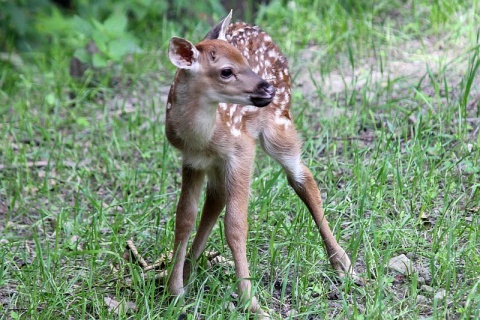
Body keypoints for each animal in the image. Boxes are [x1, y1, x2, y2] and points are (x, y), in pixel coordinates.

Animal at [167, 10, 354, 318]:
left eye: (245, 60)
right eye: (226, 71)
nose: (268, 87)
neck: (202, 138)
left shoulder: (242, 149)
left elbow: (235, 225)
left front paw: (250, 302)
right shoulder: (192, 161)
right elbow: (184, 218)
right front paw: (175, 290)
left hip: (279, 124)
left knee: (303, 178)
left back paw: (342, 263)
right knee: (216, 198)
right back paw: (190, 270)